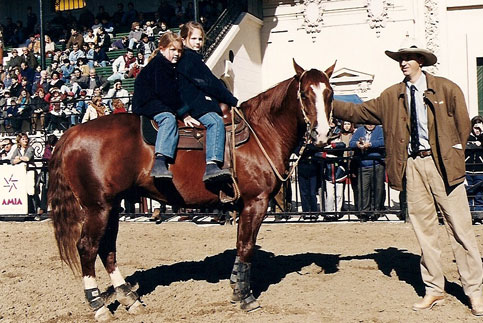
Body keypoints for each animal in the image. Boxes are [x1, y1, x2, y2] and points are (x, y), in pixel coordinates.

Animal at [50, 61, 336, 322]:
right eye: (305, 94)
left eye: (330, 93)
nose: (323, 134)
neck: (261, 132)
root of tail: (73, 132)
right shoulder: (256, 202)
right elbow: (246, 247)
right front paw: (245, 297)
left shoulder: (245, 205)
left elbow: (240, 246)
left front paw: (236, 288)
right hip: (97, 207)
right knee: (87, 247)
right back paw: (98, 306)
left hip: (112, 206)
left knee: (107, 247)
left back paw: (129, 298)